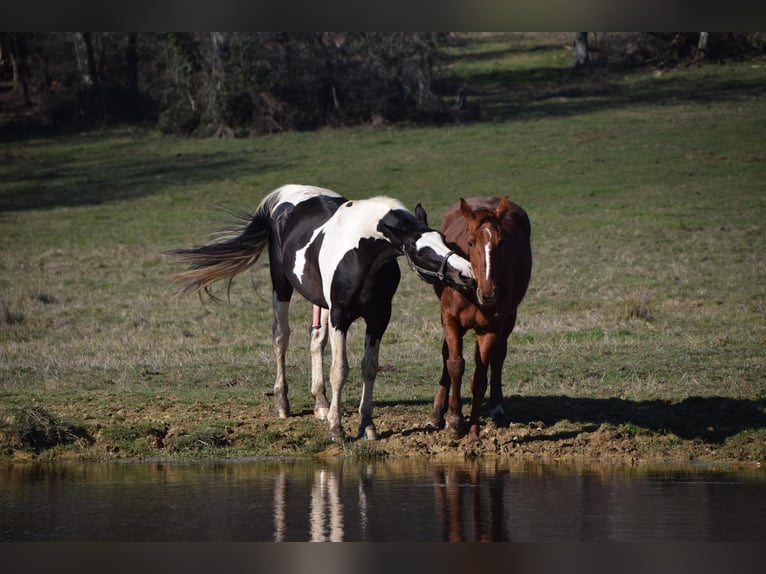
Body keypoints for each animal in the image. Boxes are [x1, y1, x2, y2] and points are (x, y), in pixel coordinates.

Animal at [171, 184, 476, 440]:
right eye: (422, 251)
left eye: (446, 241)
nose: (467, 274)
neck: (363, 252)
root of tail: (283, 195)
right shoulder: (341, 316)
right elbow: (339, 370)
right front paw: (336, 428)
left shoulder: (379, 318)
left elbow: (369, 367)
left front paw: (367, 426)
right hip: (282, 287)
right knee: (281, 337)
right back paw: (282, 404)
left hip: (322, 304)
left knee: (315, 339)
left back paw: (320, 403)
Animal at [420, 196, 536, 444]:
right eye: (471, 242)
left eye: (502, 242)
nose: (489, 293)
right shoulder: (450, 319)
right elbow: (455, 364)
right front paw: (454, 420)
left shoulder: (491, 328)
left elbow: (480, 378)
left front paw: (473, 432)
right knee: (448, 355)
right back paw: (437, 413)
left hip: (508, 320)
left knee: (498, 358)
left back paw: (497, 409)